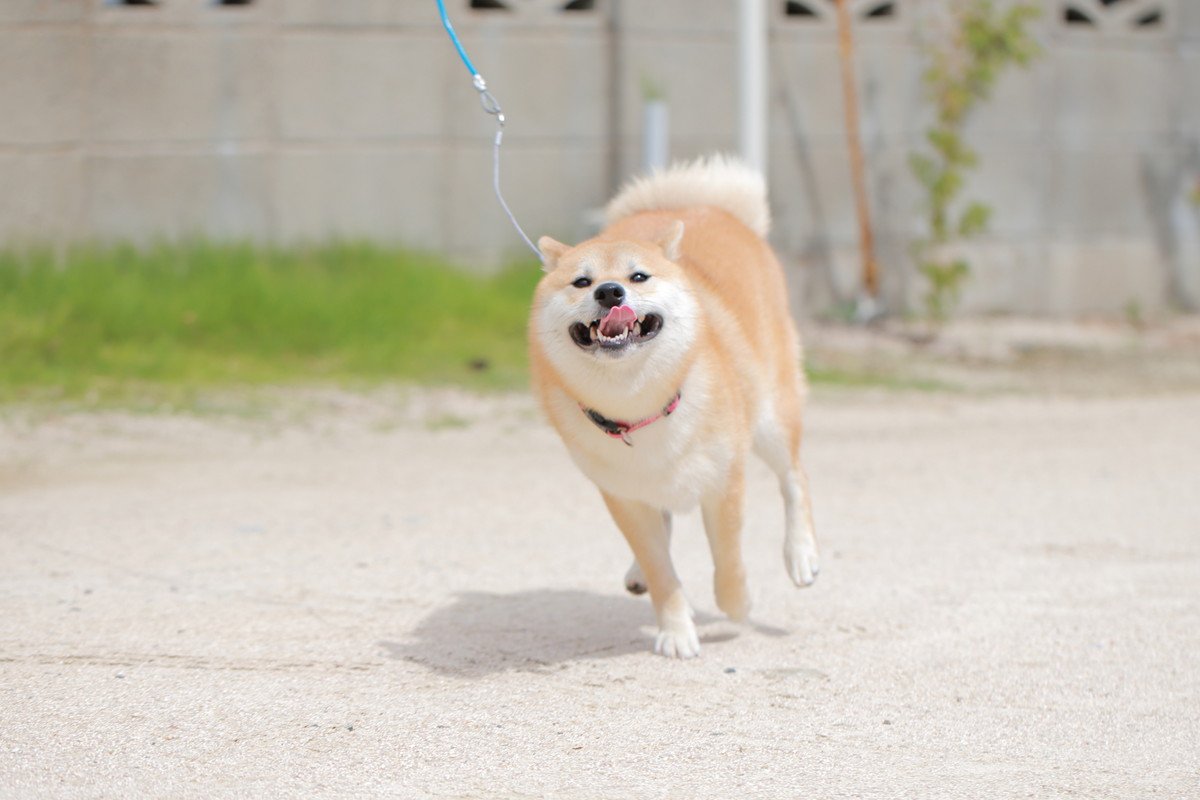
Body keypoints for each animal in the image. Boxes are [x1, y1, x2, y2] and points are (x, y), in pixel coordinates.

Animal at [530, 154, 820, 657]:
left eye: (638, 277)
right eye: (581, 281)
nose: (609, 291)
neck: (640, 405)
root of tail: (704, 205)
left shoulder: (723, 482)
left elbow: (728, 559)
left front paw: (738, 603)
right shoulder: (624, 496)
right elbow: (662, 569)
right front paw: (676, 630)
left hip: (769, 414)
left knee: (793, 478)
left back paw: (801, 555)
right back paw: (637, 572)